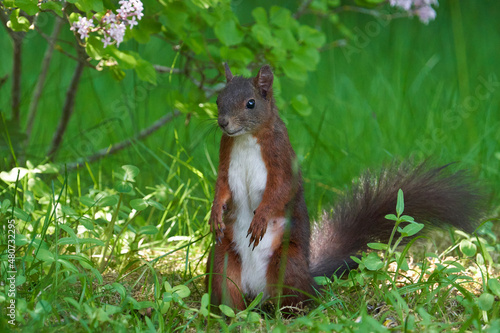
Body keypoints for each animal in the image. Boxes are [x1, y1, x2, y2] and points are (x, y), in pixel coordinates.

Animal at [205, 64, 482, 308]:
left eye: (251, 103)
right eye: (218, 100)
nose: (223, 123)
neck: (245, 138)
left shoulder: (281, 158)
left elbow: (281, 191)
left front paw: (260, 218)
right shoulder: (225, 160)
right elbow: (222, 188)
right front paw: (216, 214)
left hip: (287, 263)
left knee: (297, 300)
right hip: (221, 262)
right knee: (229, 292)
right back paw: (231, 316)